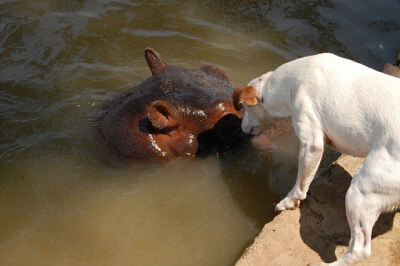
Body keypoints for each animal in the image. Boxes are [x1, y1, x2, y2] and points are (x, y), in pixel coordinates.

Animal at [233, 53, 400, 264]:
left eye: (245, 109)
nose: (241, 127)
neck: (290, 82)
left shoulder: (311, 143)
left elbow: (300, 183)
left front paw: (289, 202)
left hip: (362, 189)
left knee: (359, 250)